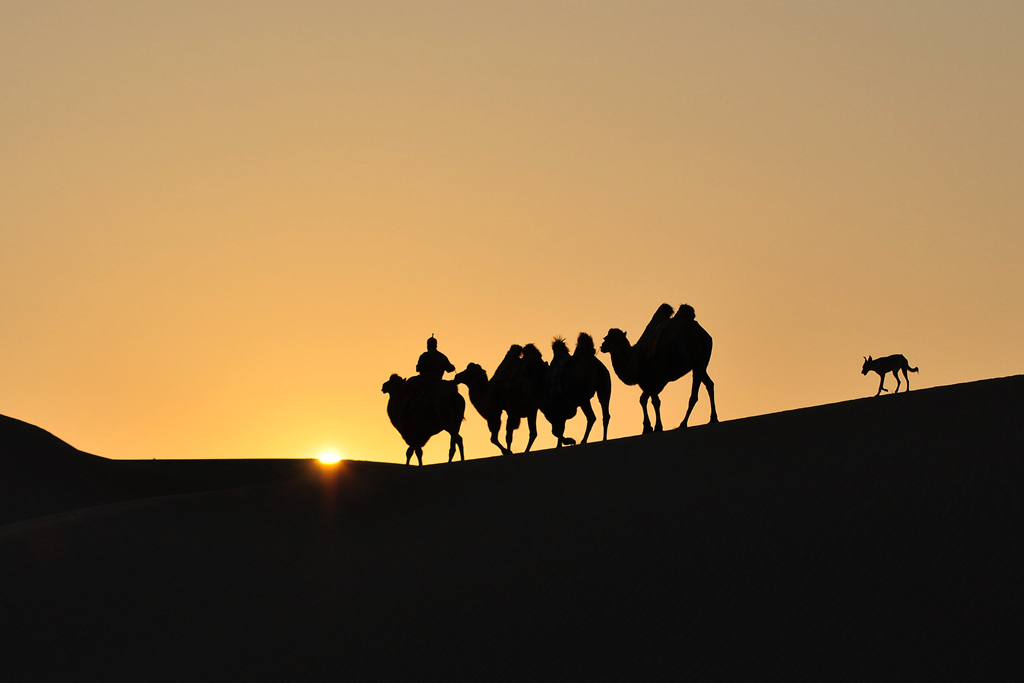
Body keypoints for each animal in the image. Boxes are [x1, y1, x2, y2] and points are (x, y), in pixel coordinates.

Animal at [598, 303, 720, 432]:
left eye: (605, 338)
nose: (602, 346)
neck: (631, 359)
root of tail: (701, 333)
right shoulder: (656, 382)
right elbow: (643, 400)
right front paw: (647, 427)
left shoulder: (648, 379)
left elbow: (654, 401)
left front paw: (657, 427)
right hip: (700, 364)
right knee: (704, 387)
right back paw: (702, 420)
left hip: (696, 362)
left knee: (704, 386)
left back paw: (699, 420)